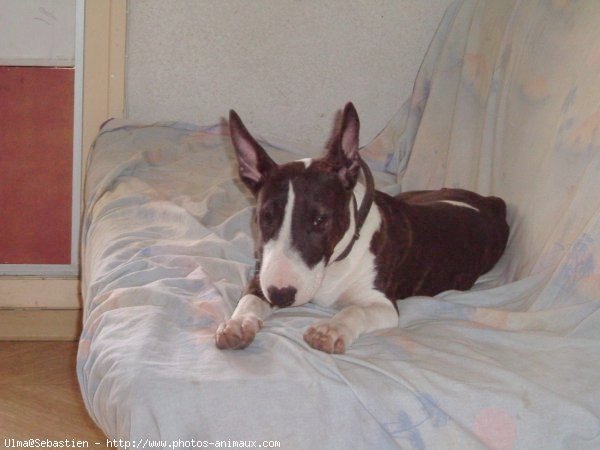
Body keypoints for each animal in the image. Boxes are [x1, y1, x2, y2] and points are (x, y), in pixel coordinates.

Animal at [214, 103, 506, 354]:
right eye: (265, 216)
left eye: (321, 220)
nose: (280, 295)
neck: (336, 262)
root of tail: (488, 202)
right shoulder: (260, 276)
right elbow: (250, 298)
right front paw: (238, 324)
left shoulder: (383, 303)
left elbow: (356, 310)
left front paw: (330, 330)